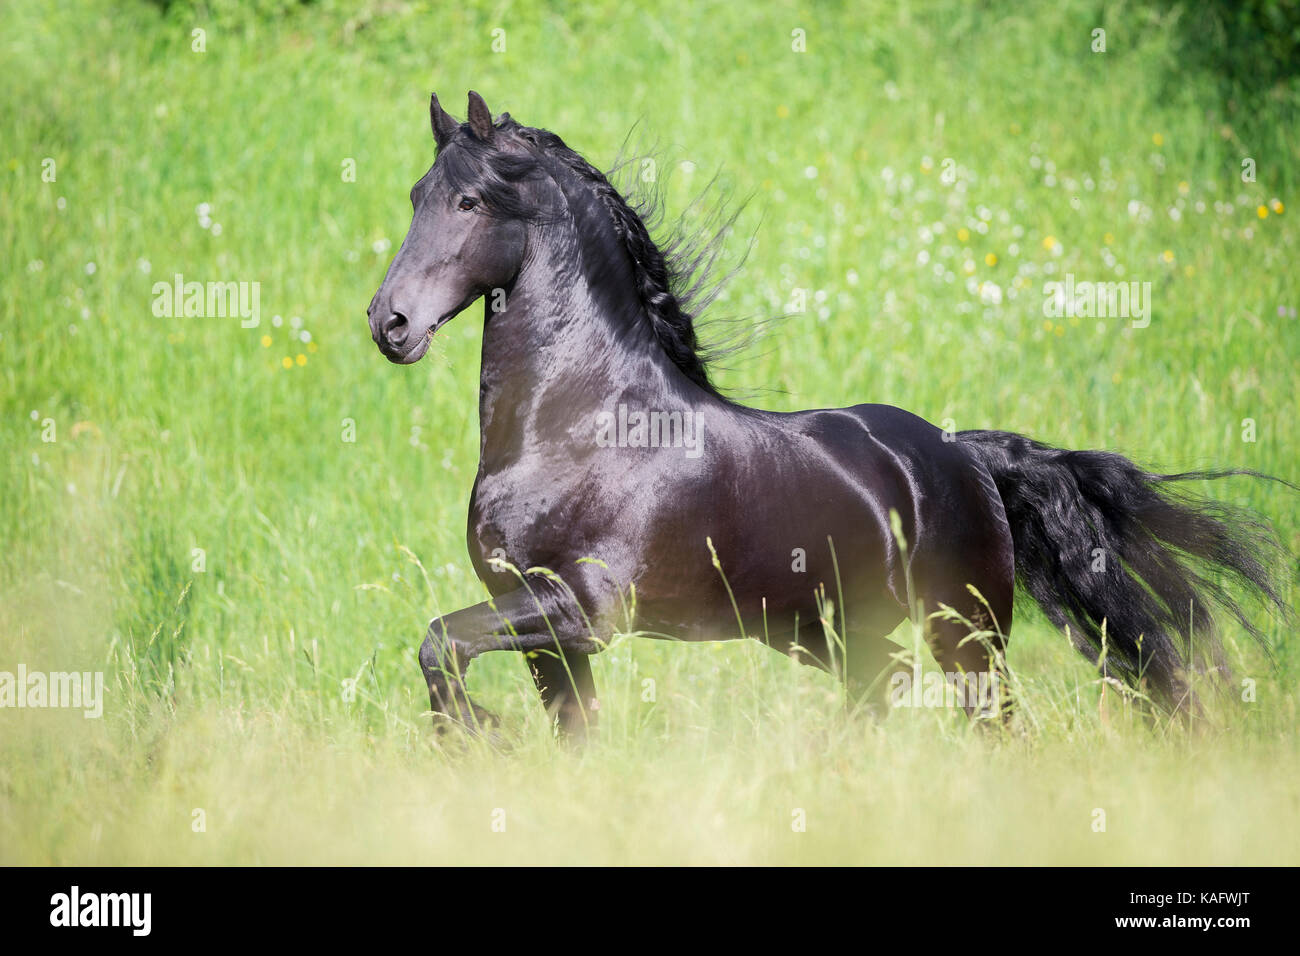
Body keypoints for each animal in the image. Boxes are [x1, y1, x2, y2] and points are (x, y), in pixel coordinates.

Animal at [366, 91, 1286, 738]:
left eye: (472, 202)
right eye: (414, 194)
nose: (391, 323)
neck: (577, 426)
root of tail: (967, 456)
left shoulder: (579, 612)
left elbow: (438, 643)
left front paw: (474, 735)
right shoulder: (549, 634)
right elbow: (550, 720)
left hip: (965, 633)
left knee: (990, 721)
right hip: (833, 635)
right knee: (882, 696)